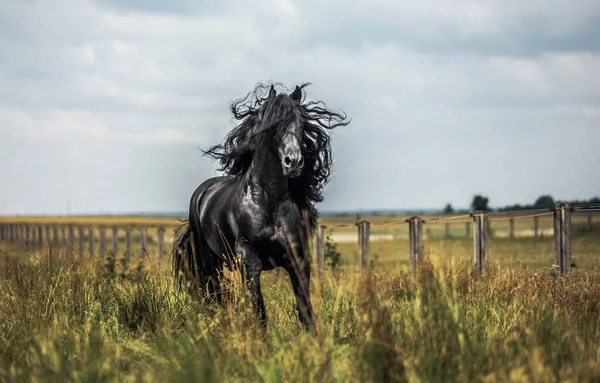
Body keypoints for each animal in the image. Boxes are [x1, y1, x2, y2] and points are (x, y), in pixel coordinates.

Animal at [173, 83, 350, 330]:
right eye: (273, 125)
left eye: (301, 124)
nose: (294, 162)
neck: (269, 204)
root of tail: (202, 192)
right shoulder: (245, 249)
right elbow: (255, 288)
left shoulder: (296, 256)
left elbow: (305, 308)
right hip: (208, 259)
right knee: (212, 291)